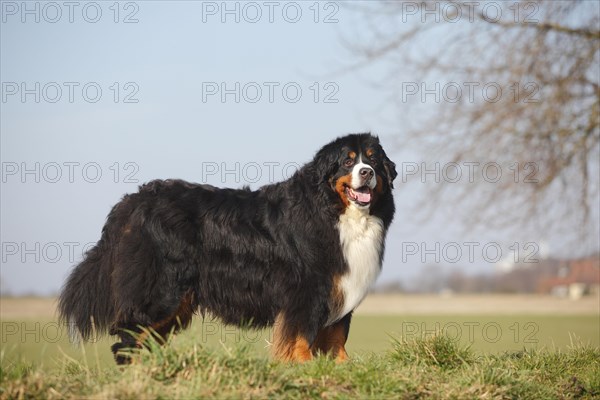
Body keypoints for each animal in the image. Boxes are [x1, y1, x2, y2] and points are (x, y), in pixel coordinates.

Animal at [58, 133, 396, 364]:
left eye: (373, 160)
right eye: (348, 161)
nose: (367, 172)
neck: (335, 212)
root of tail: (132, 201)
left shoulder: (342, 285)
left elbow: (337, 334)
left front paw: (341, 366)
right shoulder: (308, 288)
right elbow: (301, 335)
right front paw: (303, 365)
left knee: (147, 338)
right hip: (159, 289)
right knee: (129, 337)